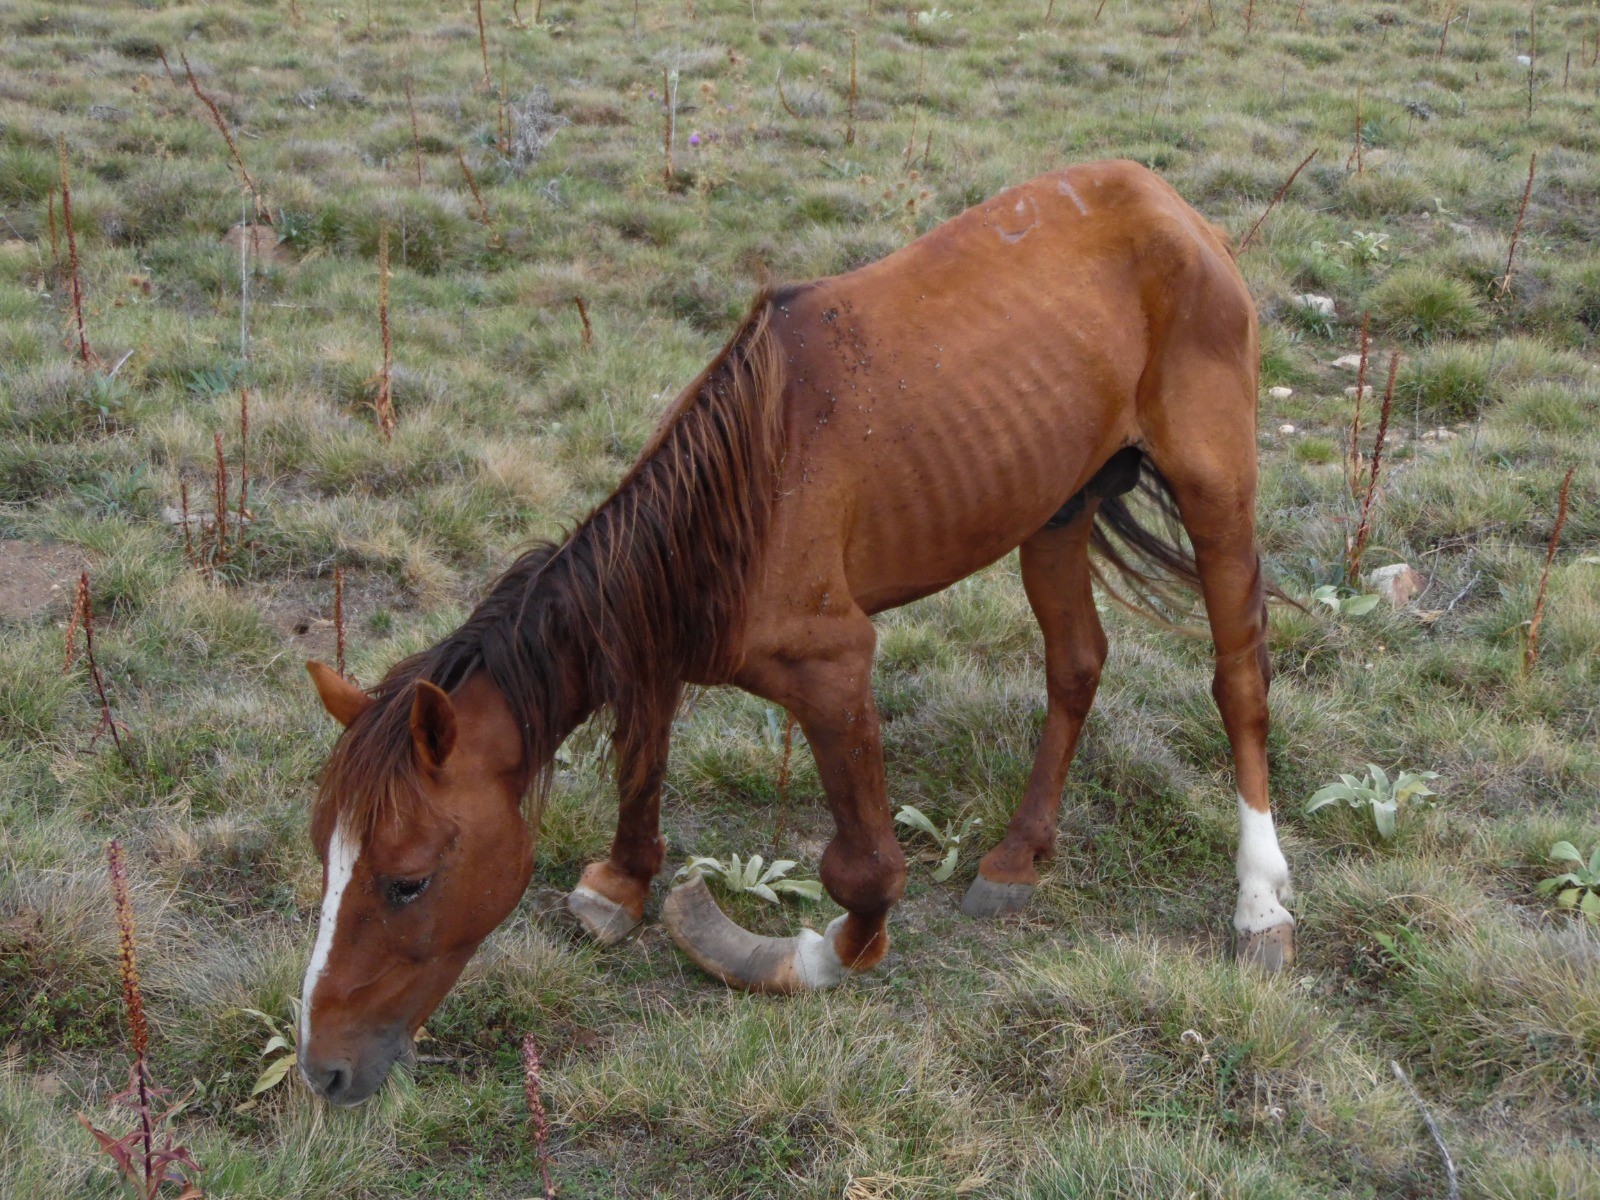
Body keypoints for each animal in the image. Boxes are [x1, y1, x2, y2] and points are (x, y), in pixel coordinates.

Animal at [300, 162, 1292, 1107]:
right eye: (326, 859)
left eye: (407, 880)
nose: (322, 1069)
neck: (735, 502)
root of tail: (1169, 205)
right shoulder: (655, 642)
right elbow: (640, 764)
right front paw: (621, 883)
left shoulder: (832, 669)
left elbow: (866, 873)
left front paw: (801, 955)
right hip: (1055, 508)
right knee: (1077, 665)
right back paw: (1019, 856)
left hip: (1215, 488)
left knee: (1238, 680)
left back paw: (1260, 901)